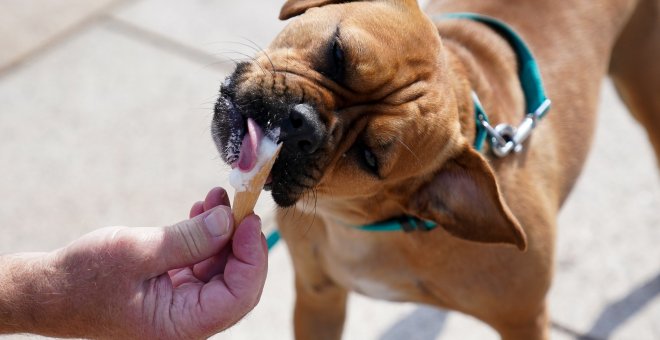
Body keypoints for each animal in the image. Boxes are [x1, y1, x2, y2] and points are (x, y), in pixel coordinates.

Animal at [213, 0, 660, 338]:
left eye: (368, 157)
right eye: (338, 53)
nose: (302, 122)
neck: (376, 223)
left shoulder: (525, 319)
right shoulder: (319, 298)